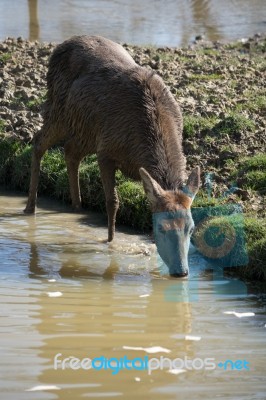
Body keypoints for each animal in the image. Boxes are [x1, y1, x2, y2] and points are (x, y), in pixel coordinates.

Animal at [24, 36, 200, 276]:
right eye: (161, 227)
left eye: (191, 228)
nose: (180, 271)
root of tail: (60, 47)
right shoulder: (106, 151)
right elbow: (112, 201)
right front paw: (110, 243)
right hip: (59, 112)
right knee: (38, 141)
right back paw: (30, 207)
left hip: (85, 131)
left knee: (70, 151)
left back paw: (76, 207)